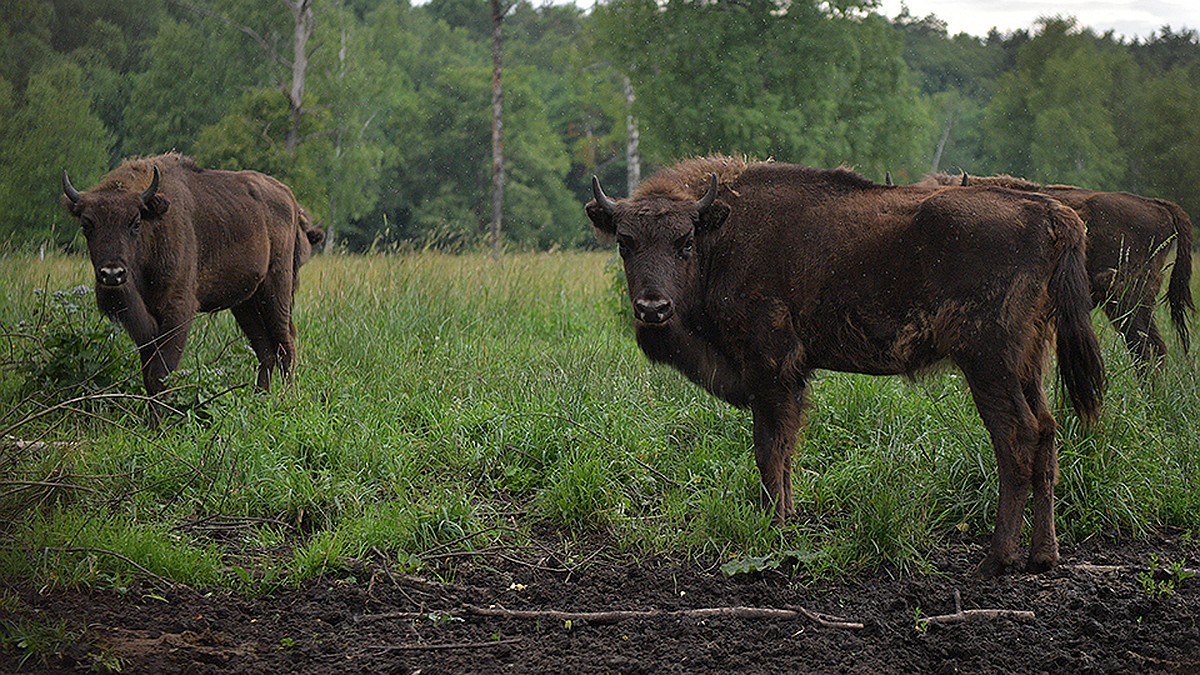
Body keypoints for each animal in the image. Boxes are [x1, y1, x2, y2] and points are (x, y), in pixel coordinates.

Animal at [60, 152, 324, 417]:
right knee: (266, 350)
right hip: (246, 303)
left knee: (285, 344)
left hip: (276, 290)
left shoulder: (178, 311)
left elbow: (160, 374)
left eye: (134, 222)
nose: (112, 274)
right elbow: (148, 374)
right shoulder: (144, 324)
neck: (153, 229)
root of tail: (290, 199)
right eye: (86, 225)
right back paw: (260, 400)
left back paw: (287, 400)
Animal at [585, 156, 1099, 571]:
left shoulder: (768, 369)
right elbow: (787, 450)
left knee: (1016, 438)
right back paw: (1043, 556)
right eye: (625, 243)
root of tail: (1053, 215)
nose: (652, 308)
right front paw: (788, 518)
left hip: (989, 362)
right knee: (1047, 432)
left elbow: (767, 449)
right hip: (1030, 360)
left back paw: (997, 559)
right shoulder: (791, 379)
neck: (724, 234)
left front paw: (772, 525)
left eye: (685, 242)